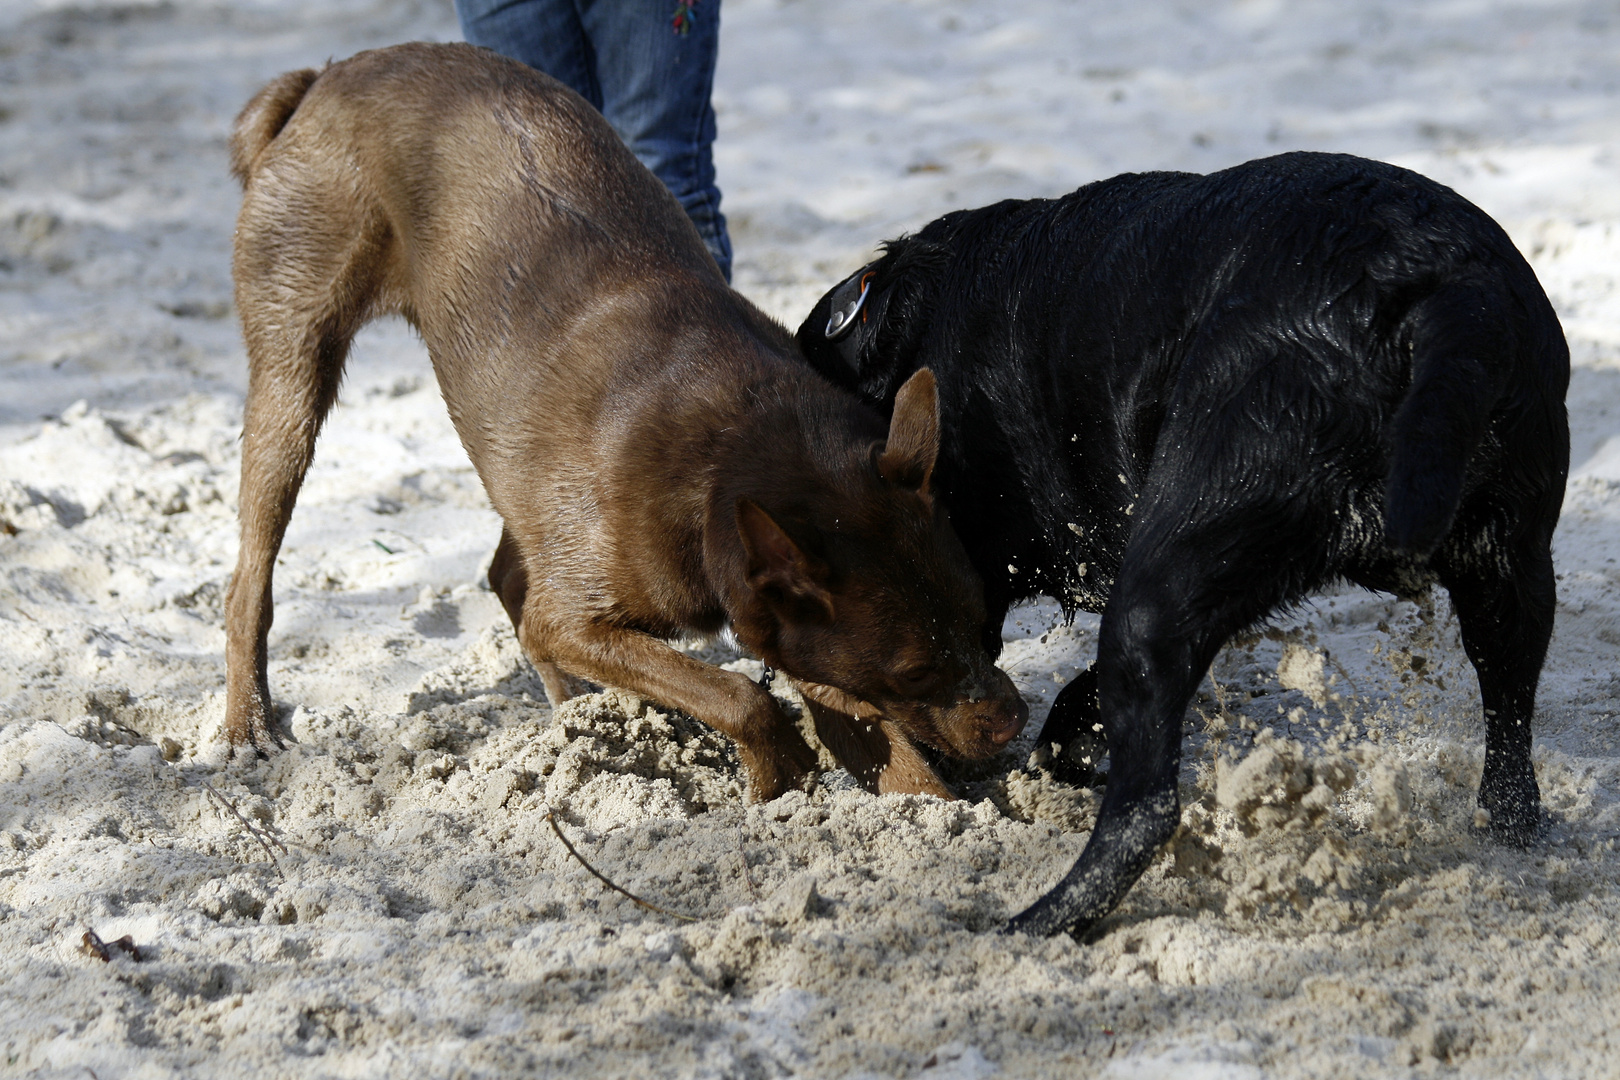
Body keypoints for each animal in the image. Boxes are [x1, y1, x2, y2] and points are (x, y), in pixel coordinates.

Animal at [225, 42, 1023, 799]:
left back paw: (577, 712)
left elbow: (892, 759)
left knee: (507, 572)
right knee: (249, 581)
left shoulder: (799, 635)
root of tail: (327, 76)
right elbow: (739, 693)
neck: (729, 445)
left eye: (985, 620)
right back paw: (246, 726)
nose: (1013, 717)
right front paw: (779, 772)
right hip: (292, 381)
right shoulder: (578, 616)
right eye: (913, 671)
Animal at [797, 152, 1568, 939]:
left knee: (1146, 810)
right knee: (1511, 741)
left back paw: (1037, 921)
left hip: (1163, 583)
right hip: (1511, 579)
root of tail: (1440, 286)